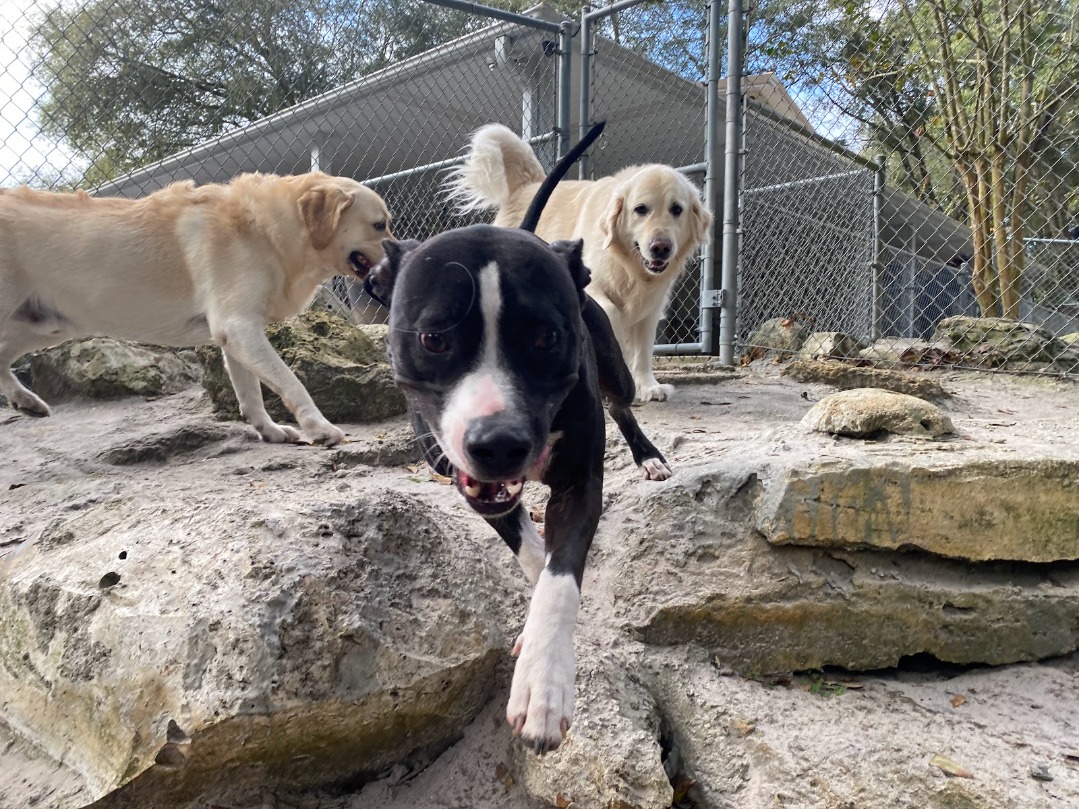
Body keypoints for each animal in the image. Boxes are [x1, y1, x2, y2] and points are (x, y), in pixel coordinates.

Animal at [0, 172, 391, 445]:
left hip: (42, 326)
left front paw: (270, 430)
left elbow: (251, 395)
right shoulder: (238, 327)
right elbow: (291, 382)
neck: (267, 230)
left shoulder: (237, 337)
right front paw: (320, 427)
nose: (403, 254)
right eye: (380, 224)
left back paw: (25, 400)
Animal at [364, 125, 672, 754]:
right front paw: (531, 637)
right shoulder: (471, 485)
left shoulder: (580, 484)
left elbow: (560, 577)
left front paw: (543, 684)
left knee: (624, 403)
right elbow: (533, 555)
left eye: (547, 337)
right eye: (433, 338)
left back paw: (649, 458)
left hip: (614, 367)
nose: (498, 443)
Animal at [444, 123, 713, 402]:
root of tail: (529, 184)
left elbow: (643, 350)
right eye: (641, 209)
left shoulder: (651, 305)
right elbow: (613, 314)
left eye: (677, 209)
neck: (630, 267)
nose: (661, 248)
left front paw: (648, 386)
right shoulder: (593, 286)